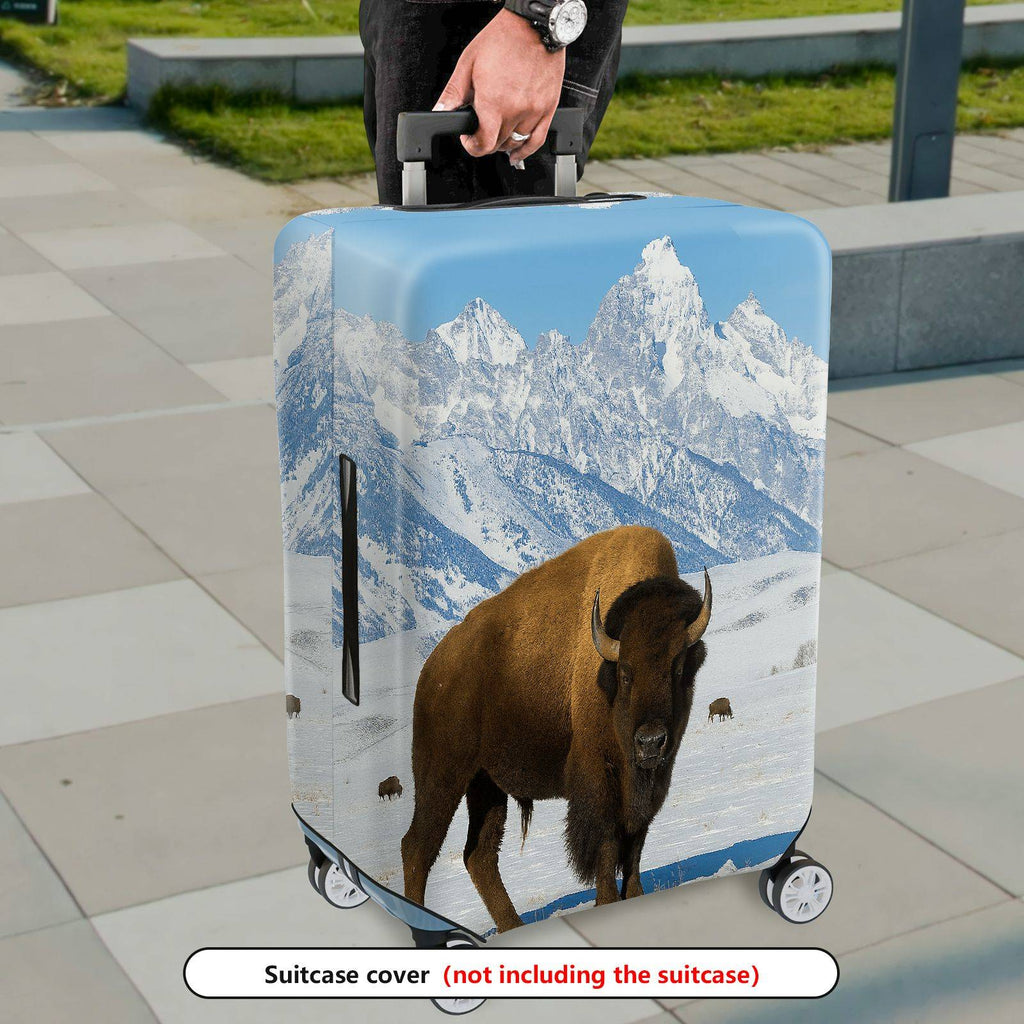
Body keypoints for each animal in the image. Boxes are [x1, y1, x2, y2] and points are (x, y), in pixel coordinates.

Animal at [401, 526, 712, 932]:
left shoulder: (651, 782)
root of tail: (431, 670)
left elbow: (635, 845)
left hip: (486, 785)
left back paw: (514, 926)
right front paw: (607, 903)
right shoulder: (598, 780)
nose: (650, 742)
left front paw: (636, 897)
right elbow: (607, 845)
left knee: (479, 855)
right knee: (418, 848)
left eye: (677, 668)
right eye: (625, 673)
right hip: (442, 775)